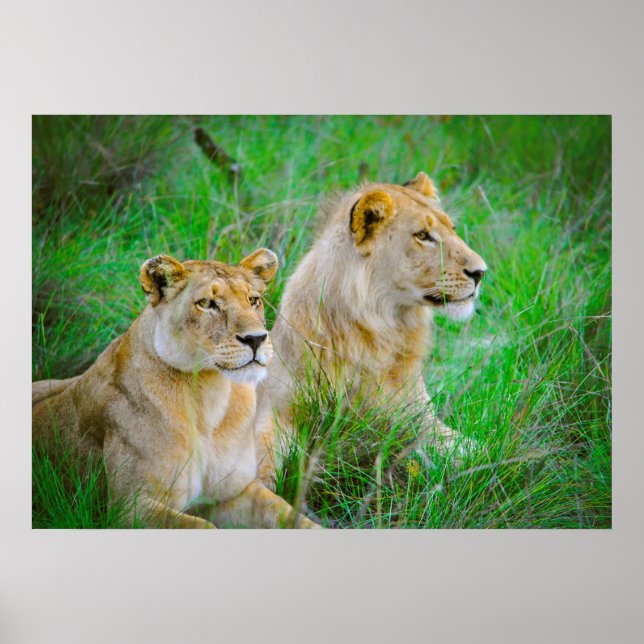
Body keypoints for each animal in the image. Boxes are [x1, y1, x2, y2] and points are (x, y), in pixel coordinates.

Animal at [32, 249, 319, 529]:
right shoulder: (129, 508)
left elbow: (289, 515)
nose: (257, 339)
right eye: (207, 304)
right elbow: (204, 527)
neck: (211, 394)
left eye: (253, 300)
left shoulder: (235, 491)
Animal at [255, 172, 487, 487]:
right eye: (423, 236)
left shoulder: (418, 416)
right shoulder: (277, 408)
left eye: (452, 228)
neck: (381, 329)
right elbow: (262, 452)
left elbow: (476, 449)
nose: (481, 272)